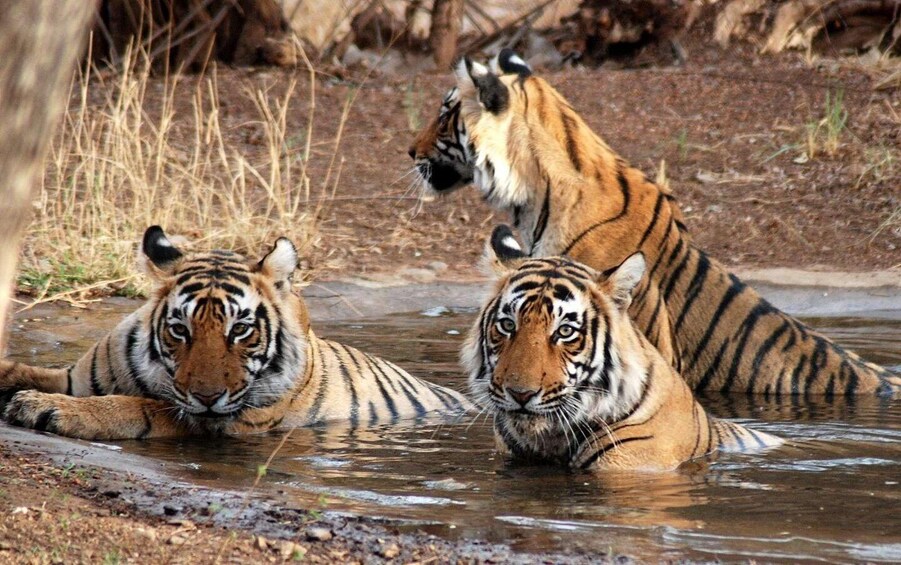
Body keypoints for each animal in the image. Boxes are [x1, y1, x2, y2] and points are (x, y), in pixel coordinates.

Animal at [0, 226, 470, 440]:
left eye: (240, 330)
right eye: (180, 330)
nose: (208, 397)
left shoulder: (217, 420)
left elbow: (136, 406)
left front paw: (44, 408)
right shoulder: (74, 377)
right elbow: (24, 370)